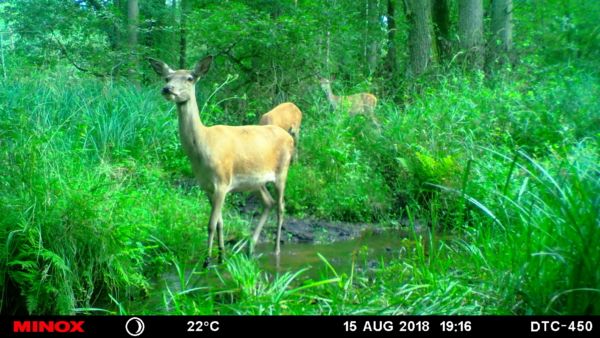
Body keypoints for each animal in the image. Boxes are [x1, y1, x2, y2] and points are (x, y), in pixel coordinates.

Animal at [148, 55, 292, 266]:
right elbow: (219, 223)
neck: (203, 148)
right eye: (167, 78)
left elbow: (210, 224)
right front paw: (221, 256)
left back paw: (276, 250)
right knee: (268, 202)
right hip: (256, 181)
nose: (167, 89)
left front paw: (207, 261)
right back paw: (250, 247)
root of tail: (289, 137)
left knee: (281, 207)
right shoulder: (207, 186)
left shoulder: (222, 183)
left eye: (190, 78)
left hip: (282, 171)